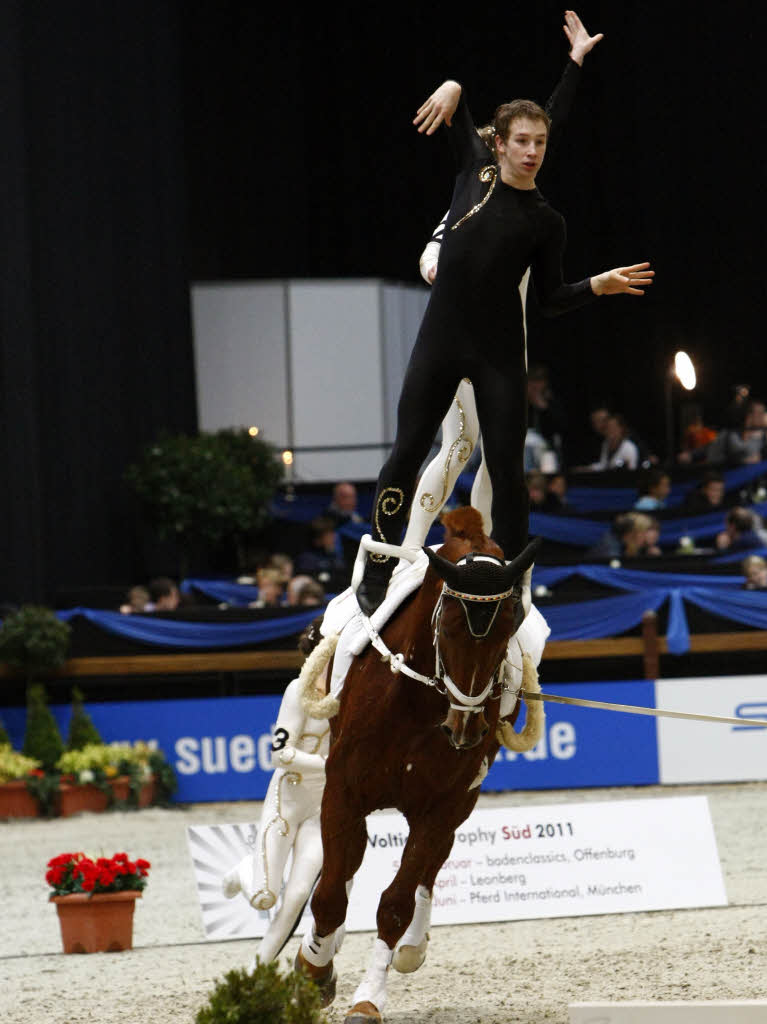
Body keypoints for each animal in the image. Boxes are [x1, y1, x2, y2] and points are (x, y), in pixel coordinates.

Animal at [296, 512, 536, 1024]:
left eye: (509, 629)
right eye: (446, 626)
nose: (465, 728)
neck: (416, 703)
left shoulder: (440, 806)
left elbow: (396, 902)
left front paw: (368, 998)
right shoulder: (342, 793)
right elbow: (329, 895)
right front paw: (314, 971)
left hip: (461, 801)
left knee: (433, 863)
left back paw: (411, 948)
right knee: (345, 868)